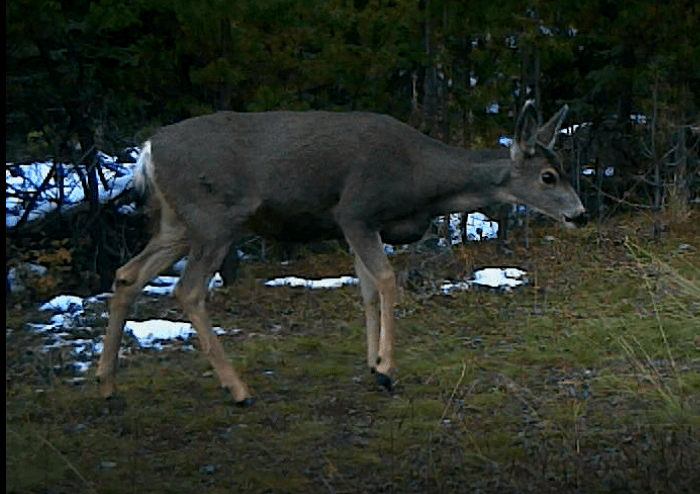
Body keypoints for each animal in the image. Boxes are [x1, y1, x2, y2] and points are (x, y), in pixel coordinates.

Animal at [96, 101, 586, 406]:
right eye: (547, 176)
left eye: (562, 169)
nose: (580, 214)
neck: (422, 180)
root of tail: (148, 150)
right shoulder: (356, 210)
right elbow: (386, 280)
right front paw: (387, 370)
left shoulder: (355, 225)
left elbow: (366, 289)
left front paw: (373, 364)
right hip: (215, 218)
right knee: (188, 289)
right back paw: (238, 389)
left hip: (177, 223)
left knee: (127, 274)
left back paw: (107, 385)